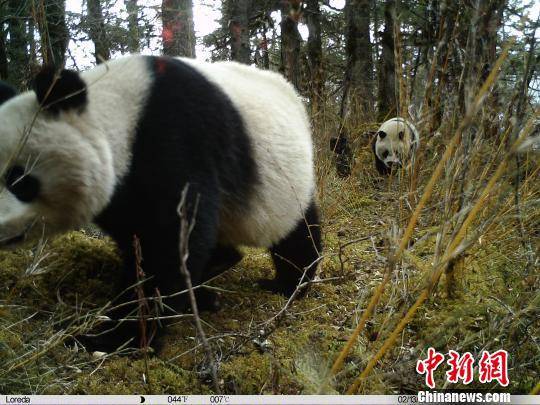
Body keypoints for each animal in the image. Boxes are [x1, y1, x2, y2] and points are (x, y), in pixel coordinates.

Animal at [0, 54, 322, 350]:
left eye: (19, 179)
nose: (1, 230)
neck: (119, 113)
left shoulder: (175, 138)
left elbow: (169, 243)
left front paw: (113, 337)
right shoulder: (121, 193)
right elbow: (140, 240)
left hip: (286, 182)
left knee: (297, 233)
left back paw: (288, 284)